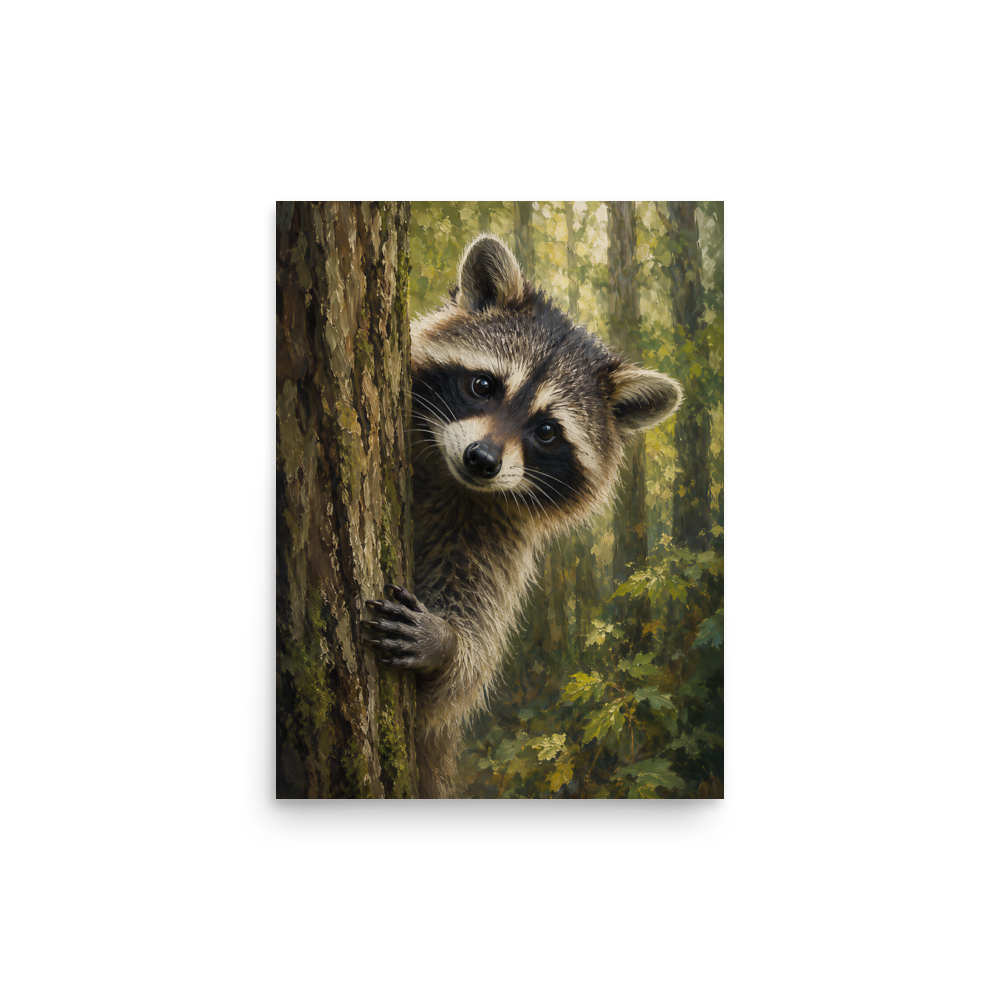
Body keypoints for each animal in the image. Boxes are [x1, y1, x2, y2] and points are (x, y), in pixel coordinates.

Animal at [363, 233, 683, 798]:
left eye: (548, 431)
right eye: (483, 385)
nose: (482, 460)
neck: (452, 481)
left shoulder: (496, 538)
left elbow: (458, 682)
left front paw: (447, 644)